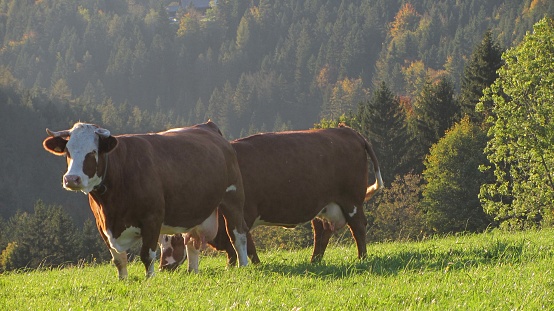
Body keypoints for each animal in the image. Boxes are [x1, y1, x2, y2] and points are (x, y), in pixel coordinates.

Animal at [43, 122, 248, 280]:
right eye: (68, 152)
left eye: (93, 152)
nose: (71, 179)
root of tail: (207, 126)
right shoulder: (102, 225)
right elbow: (118, 259)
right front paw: (123, 280)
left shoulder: (152, 219)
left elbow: (147, 255)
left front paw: (149, 279)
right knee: (192, 242)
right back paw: (192, 271)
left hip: (233, 197)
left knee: (238, 234)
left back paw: (244, 266)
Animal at [158, 124, 380, 270]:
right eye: (161, 242)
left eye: (174, 241)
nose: (163, 267)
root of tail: (346, 130)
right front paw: (236, 265)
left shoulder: (244, 213)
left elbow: (243, 242)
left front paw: (250, 265)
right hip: (323, 206)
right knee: (322, 233)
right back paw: (314, 261)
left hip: (351, 201)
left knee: (358, 227)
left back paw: (362, 257)